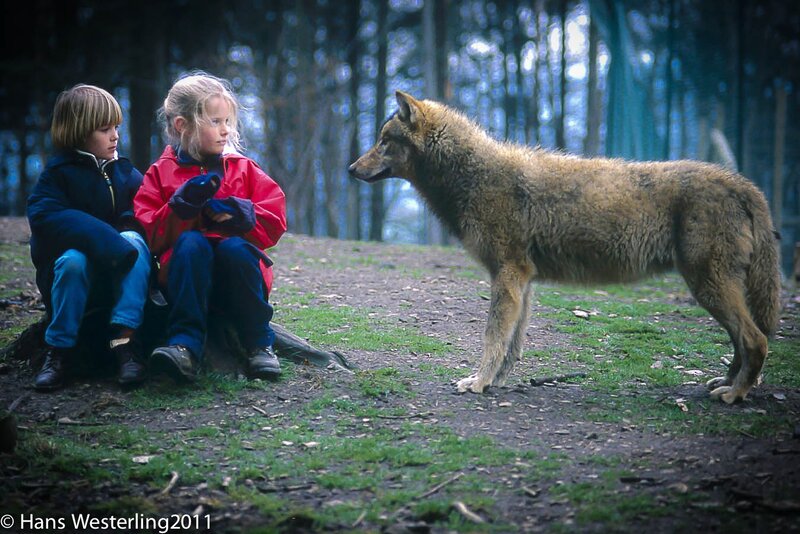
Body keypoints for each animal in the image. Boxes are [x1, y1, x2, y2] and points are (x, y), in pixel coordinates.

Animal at [349, 91, 782, 404]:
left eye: (383, 142)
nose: (351, 169)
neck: (472, 176)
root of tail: (743, 183)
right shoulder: (522, 281)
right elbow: (512, 345)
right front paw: (493, 382)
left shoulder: (508, 275)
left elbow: (492, 338)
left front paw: (478, 383)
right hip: (712, 290)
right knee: (744, 342)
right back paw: (724, 384)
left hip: (708, 287)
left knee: (756, 339)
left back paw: (735, 394)